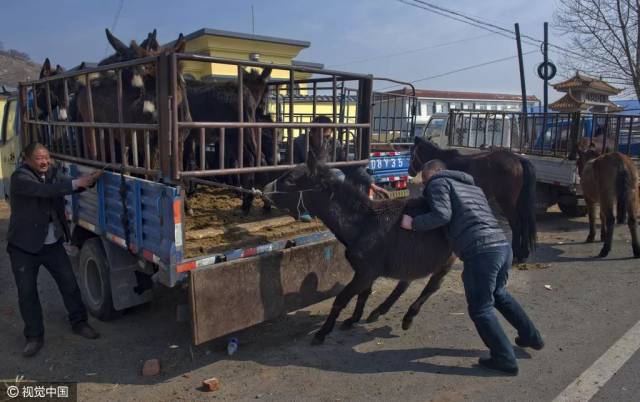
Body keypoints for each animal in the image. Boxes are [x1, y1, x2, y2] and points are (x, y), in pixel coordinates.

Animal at [264, 152, 456, 344]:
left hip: (447, 259)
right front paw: (353, 319)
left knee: (432, 286)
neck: (363, 223)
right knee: (405, 282)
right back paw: (379, 311)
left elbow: (342, 299)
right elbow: (364, 294)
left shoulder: (365, 272)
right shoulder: (367, 272)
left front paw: (322, 333)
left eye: (290, 180)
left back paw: (408, 317)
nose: (265, 191)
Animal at [408, 137, 536, 264]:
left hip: (506, 202)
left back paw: (516, 253)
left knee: (516, 224)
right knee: (524, 222)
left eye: (412, 153)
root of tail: (518, 159)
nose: (409, 171)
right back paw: (524, 253)